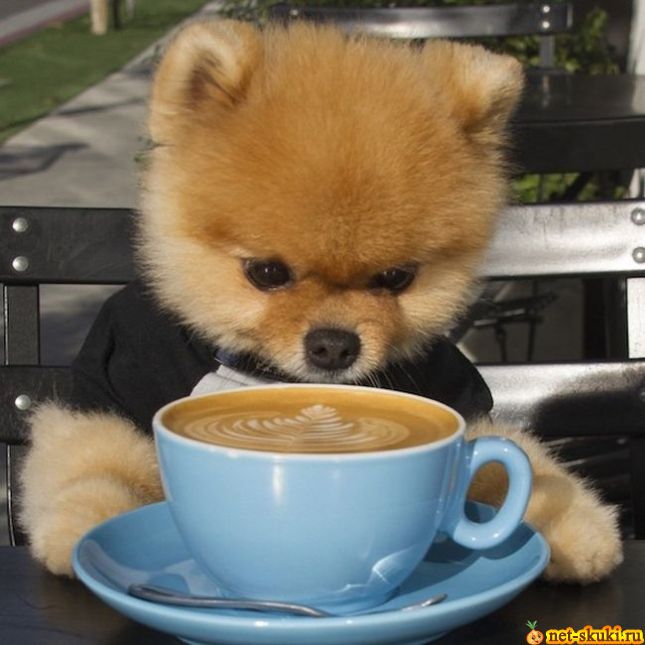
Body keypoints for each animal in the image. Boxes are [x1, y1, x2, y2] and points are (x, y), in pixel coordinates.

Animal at [20, 19, 622, 582]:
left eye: (396, 278)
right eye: (266, 273)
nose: (334, 345)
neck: (266, 376)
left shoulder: (452, 394)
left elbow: (504, 462)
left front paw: (573, 523)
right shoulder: (111, 381)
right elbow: (97, 458)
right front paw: (87, 527)